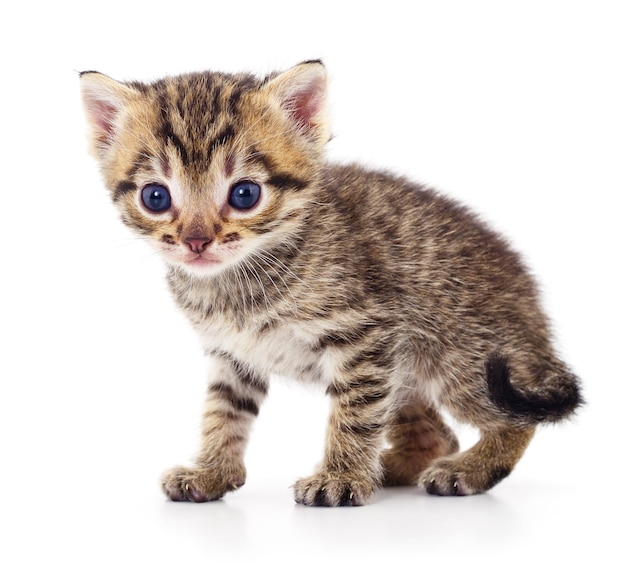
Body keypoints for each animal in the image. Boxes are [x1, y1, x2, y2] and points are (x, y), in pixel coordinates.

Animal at [79, 60, 580, 506]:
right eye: (155, 197)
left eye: (245, 194)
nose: (196, 241)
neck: (236, 281)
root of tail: (537, 325)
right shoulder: (232, 355)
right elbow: (224, 412)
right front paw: (212, 472)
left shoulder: (366, 335)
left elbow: (354, 412)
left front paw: (339, 478)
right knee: (437, 436)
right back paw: (392, 468)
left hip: (463, 360)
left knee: (514, 420)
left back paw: (469, 470)